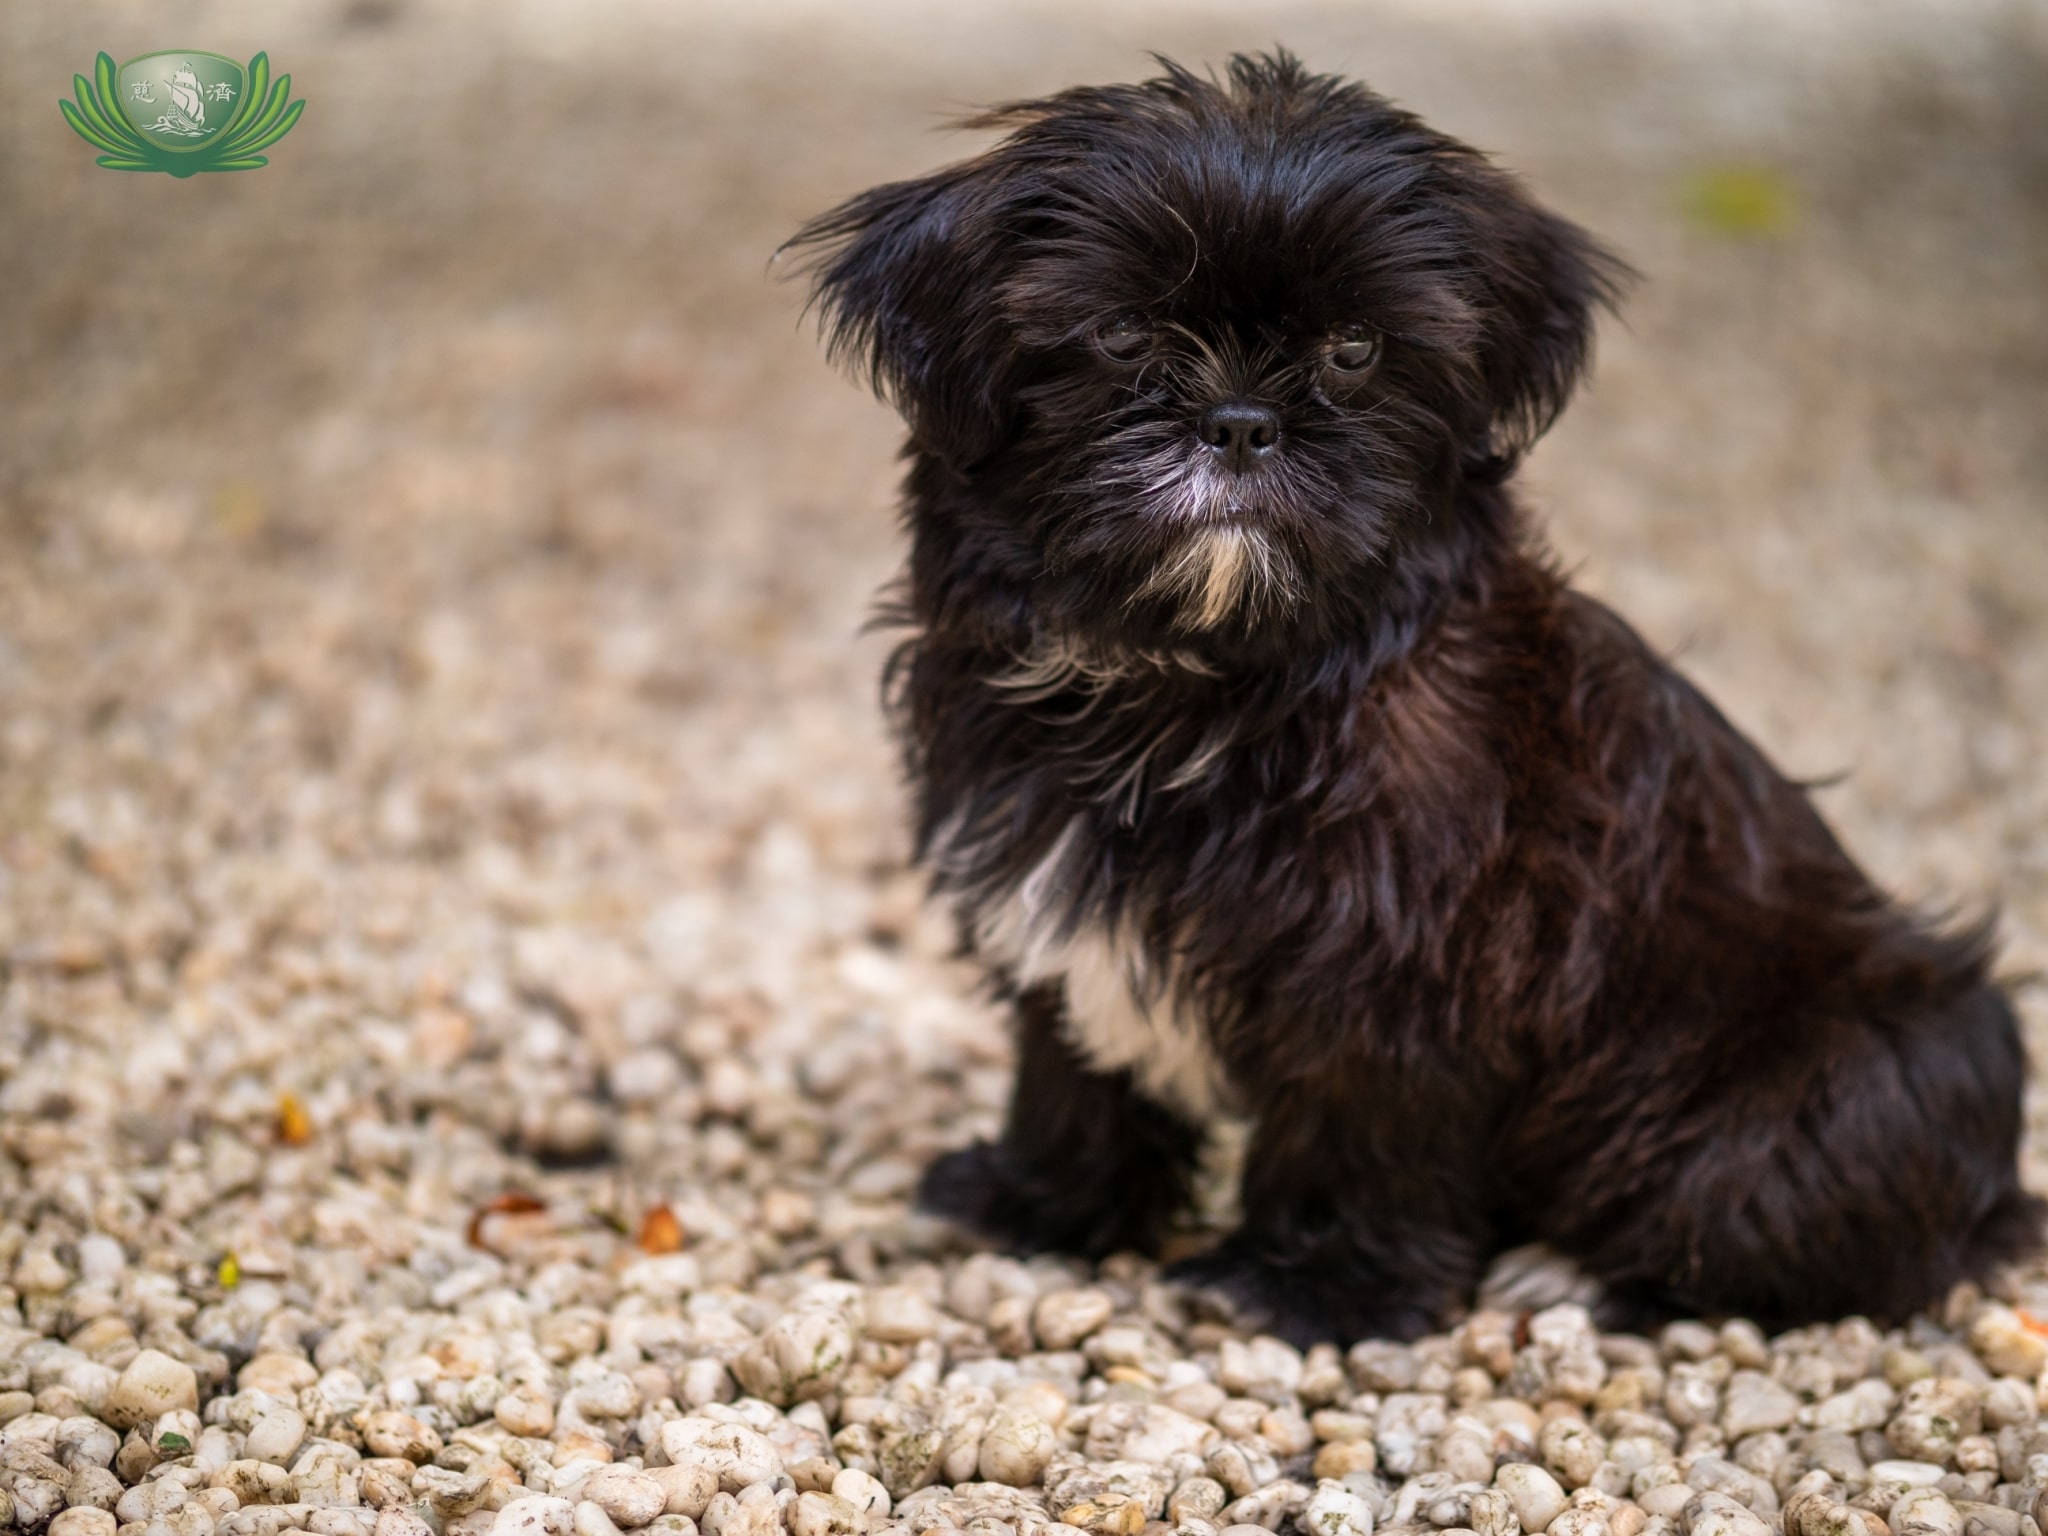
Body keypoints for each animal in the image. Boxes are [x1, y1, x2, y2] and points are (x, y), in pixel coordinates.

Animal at [782, 51, 2031, 1343]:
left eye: (1352, 351)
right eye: (1121, 332)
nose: (1239, 420)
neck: (1200, 680)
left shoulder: (1397, 967)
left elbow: (1360, 1125)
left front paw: (1316, 1287)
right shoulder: (1044, 893)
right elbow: (1072, 1067)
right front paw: (1042, 1204)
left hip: (1840, 1071)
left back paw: (1573, 1272)